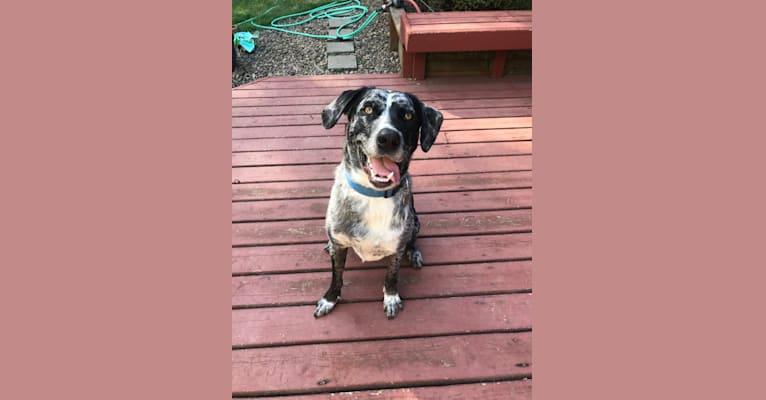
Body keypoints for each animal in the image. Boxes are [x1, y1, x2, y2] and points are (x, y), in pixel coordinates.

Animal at [312, 86, 444, 318]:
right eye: (367, 109)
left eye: (408, 116)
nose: (389, 138)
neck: (373, 195)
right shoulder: (339, 247)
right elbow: (337, 275)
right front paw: (329, 299)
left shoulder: (396, 249)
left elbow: (391, 276)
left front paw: (391, 298)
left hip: (416, 221)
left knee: (413, 239)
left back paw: (414, 252)